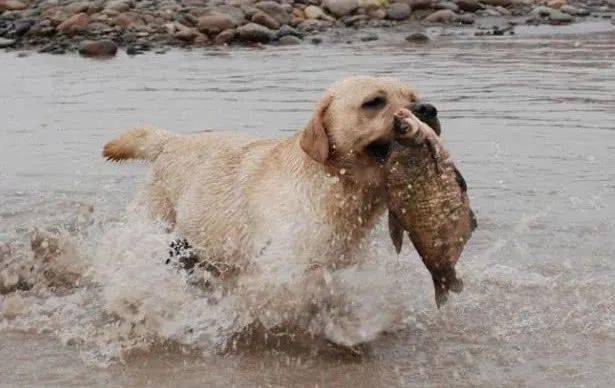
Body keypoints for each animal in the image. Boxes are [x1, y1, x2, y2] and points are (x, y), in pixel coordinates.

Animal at [102, 76, 438, 278]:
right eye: (373, 102)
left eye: (413, 96)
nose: (428, 108)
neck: (335, 185)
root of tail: (171, 141)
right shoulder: (281, 261)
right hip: (152, 221)